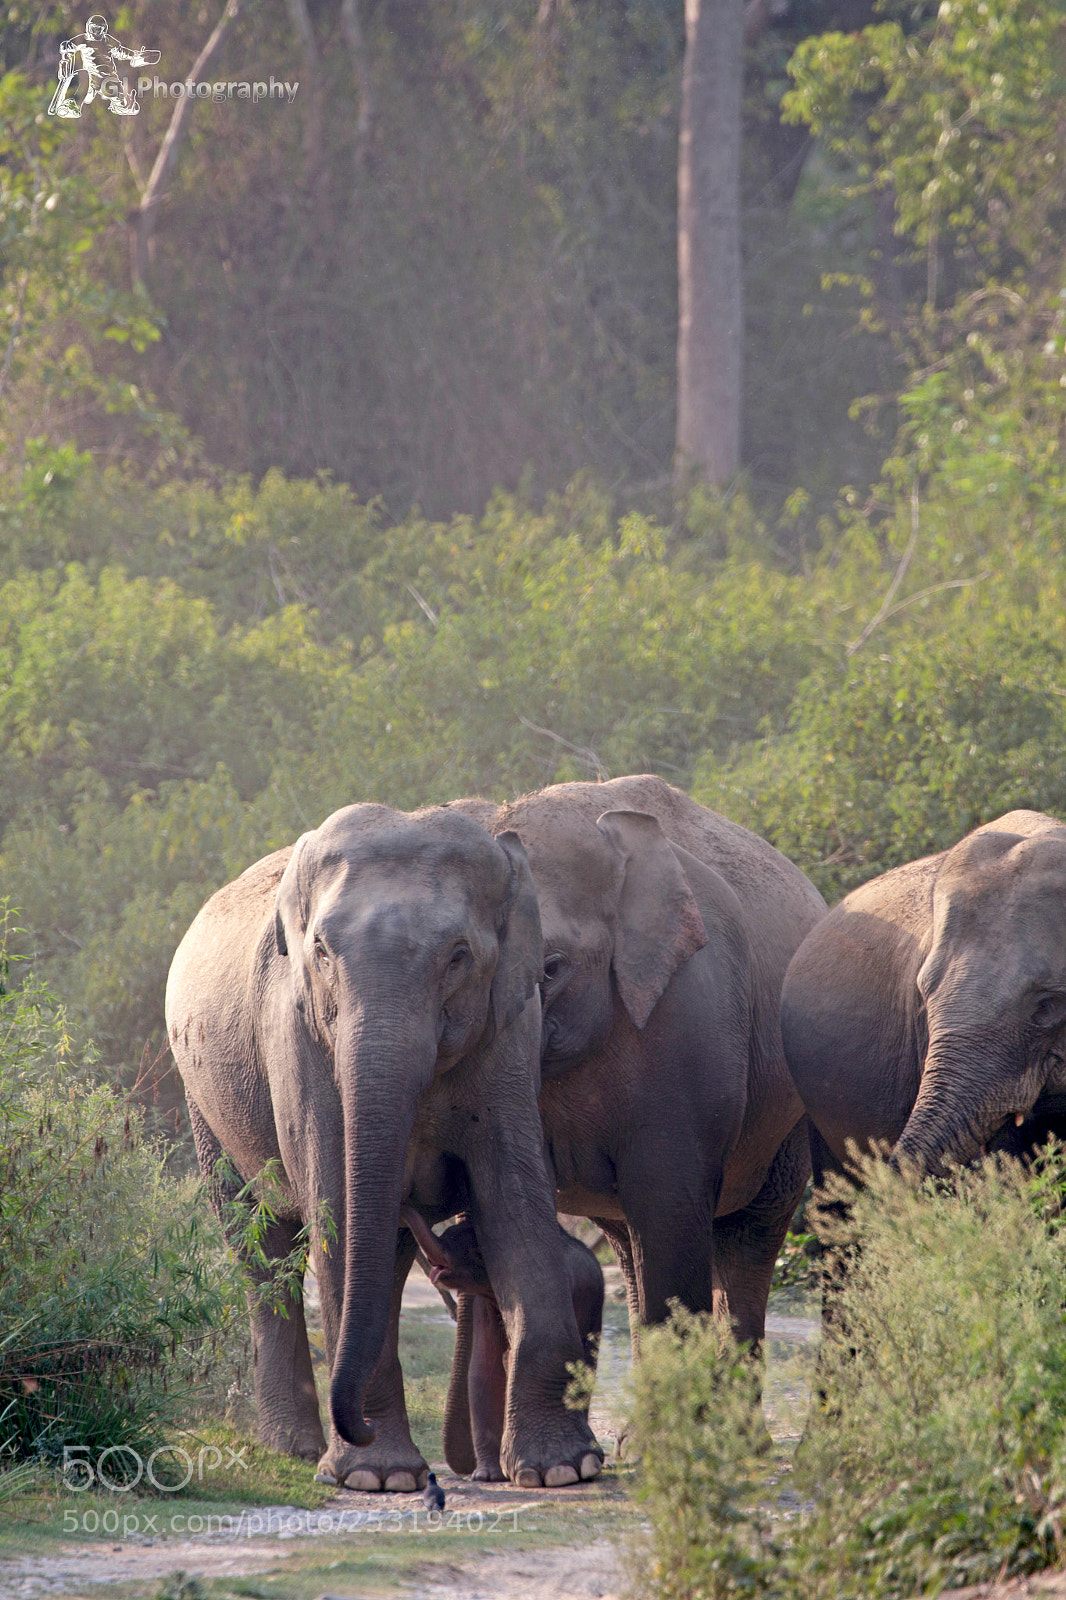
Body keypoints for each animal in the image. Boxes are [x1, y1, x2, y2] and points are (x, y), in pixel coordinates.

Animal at [400, 1206, 604, 1481]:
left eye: (476, 1253)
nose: (404, 1207)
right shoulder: (483, 1303)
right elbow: (484, 1368)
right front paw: (486, 1476)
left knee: (586, 1363)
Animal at [452, 774, 827, 1348]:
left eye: (551, 968)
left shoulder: (693, 1012)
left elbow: (667, 1204)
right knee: (630, 1247)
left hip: (790, 1112)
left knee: (749, 1232)